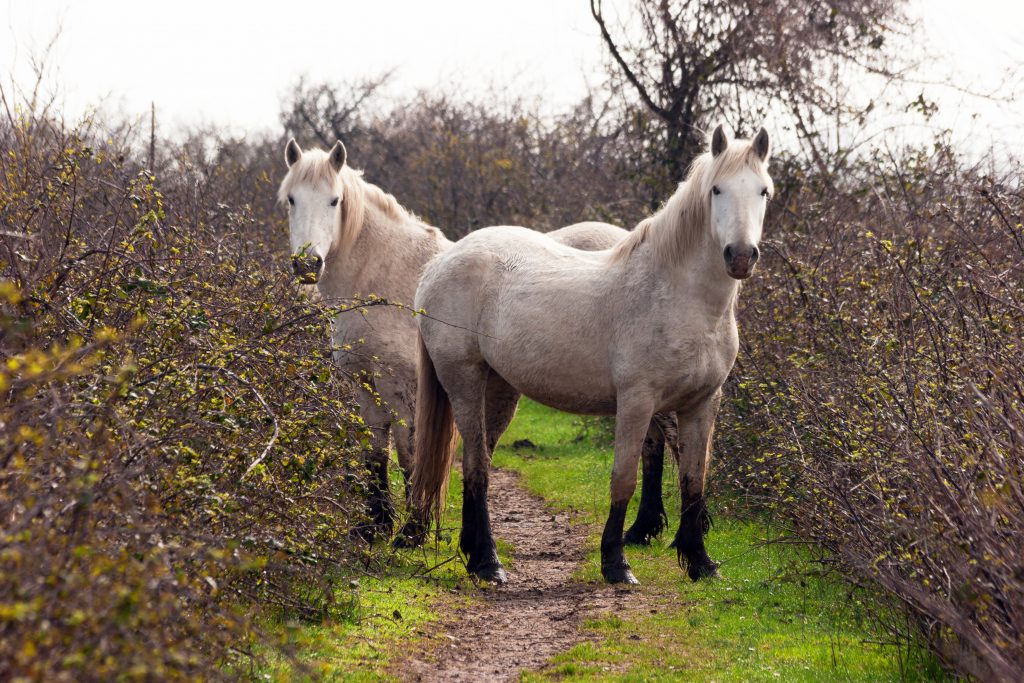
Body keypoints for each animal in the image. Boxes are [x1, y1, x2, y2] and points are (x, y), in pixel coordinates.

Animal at [278, 139, 671, 544]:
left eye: (334, 201)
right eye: (291, 199)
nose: (307, 264)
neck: (383, 279)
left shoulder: (401, 385)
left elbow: (409, 451)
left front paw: (412, 527)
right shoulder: (362, 381)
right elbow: (374, 452)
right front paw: (374, 525)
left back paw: (643, 528)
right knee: (654, 441)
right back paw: (645, 529)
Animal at [411, 126, 770, 581]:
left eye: (763, 190)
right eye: (716, 190)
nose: (740, 256)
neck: (677, 295)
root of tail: (440, 263)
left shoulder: (703, 403)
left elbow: (694, 481)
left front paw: (701, 563)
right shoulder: (637, 401)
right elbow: (624, 478)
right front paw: (616, 563)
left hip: (500, 387)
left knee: (483, 462)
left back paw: (475, 553)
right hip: (464, 379)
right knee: (475, 464)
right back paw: (488, 562)